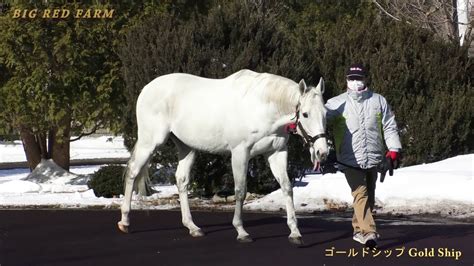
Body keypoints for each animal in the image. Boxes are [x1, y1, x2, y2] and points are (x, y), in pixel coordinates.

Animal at [116, 69, 328, 245]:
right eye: (305, 114)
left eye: (325, 113)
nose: (322, 152)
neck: (262, 106)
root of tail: (147, 88)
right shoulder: (240, 153)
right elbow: (240, 191)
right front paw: (241, 231)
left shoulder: (276, 153)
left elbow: (287, 188)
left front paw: (295, 232)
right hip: (150, 142)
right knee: (133, 172)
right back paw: (124, 221)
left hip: (187, 147)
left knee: (181, 180)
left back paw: (192, 227)